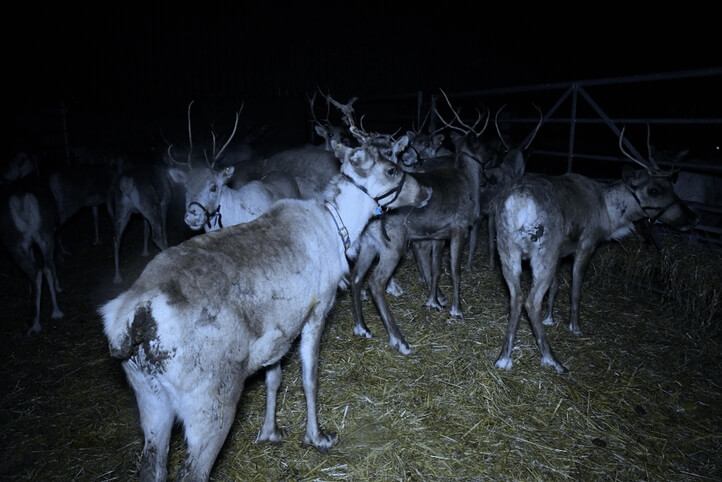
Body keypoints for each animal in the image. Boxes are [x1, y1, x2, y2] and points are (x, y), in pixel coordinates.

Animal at [1, 175, 64, 334]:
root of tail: (21, 201)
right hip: (42, 235)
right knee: (45, 268)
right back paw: (52, 314)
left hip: (19, 243)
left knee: (39, 270)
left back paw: (37, 322)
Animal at [99, 137, 432, 482]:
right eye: (392, 169)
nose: (426, 191)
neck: (339, 226)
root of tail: (130, 320)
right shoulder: (317, 310)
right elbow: (309, 377)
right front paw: (316, 436)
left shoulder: (279, 331)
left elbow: (274, 379)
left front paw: (270, 431)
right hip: (209, 402)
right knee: (194, 471)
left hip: (150, 399)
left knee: (151, 466)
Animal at [493, 127, 699, 374]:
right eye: (654, 189)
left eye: (672, 186)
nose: (691, 217)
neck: (609, 213)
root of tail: (519, 203)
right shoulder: (586, 245)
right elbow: (575, 290)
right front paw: (575, 327)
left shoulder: (561, 252)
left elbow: (556, 288)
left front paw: (550, 318)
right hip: (543, 251)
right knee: (531, 301)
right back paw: (553, 360)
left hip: (508, 249)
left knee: (516, 297)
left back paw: (504, 358)